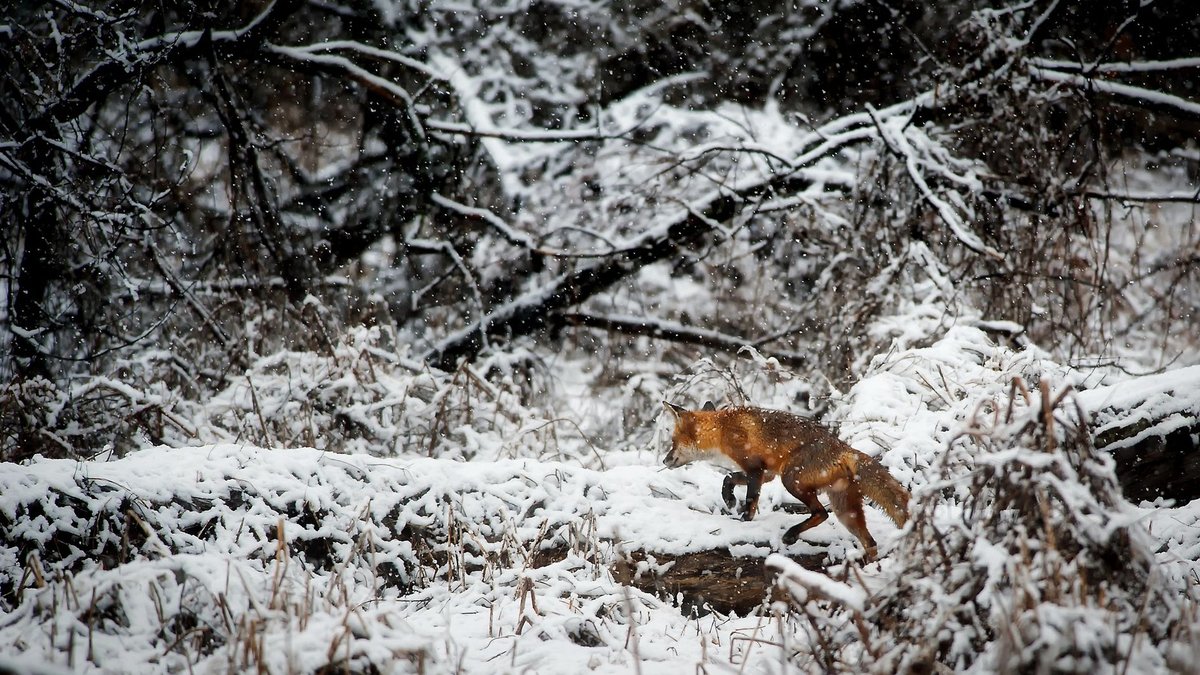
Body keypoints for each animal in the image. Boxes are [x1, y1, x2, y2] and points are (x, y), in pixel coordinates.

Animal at [663, 401, 910, 560]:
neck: (722, 429)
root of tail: (844, 448)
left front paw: (743, 520)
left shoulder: (755, 468)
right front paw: (729, 499)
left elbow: (750, 499)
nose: (665, 460)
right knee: (870, 543)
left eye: (673, 442)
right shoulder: (766, 473)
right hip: (844, 511)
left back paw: (791, 534)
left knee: (821, 513)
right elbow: (729, 477)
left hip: (792, 480)